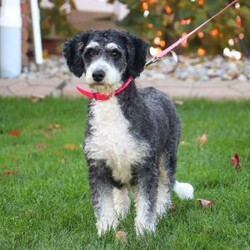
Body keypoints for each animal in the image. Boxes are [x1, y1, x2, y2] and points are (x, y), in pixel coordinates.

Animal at [63, 29, 193, 236]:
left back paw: (161, 210)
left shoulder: (145, 166)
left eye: (115, 53)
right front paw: (107, 228)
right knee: (120, 189)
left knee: (165, 185)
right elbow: (103, 203)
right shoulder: (98, 165)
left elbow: (146, 202)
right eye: (89, 53)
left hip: (167, 156)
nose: (98, 74)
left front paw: (145, 230)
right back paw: (121, 210)